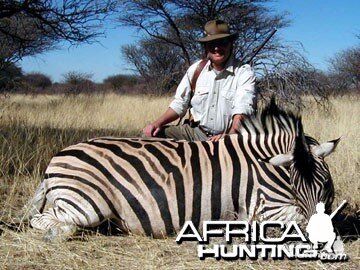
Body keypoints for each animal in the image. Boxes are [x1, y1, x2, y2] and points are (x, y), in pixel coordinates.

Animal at [26, 102, 338, 240]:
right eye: (295, 187)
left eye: (324, 186)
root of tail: (57, 157)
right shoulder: (264, 207)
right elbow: (297, 219)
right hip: (86, 204)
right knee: (43, 221)